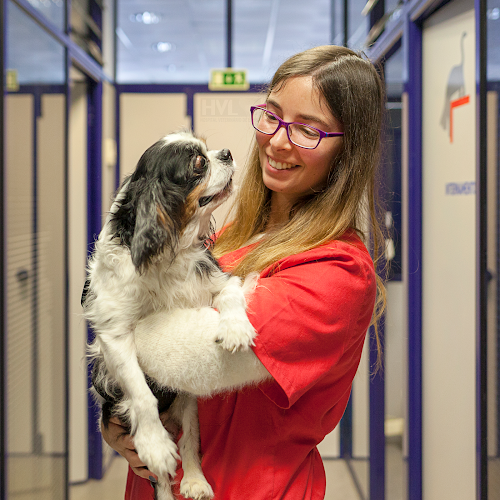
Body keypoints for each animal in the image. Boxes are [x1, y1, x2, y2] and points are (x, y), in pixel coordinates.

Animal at [82, 131, 258, 498]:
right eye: (198, 163)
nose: (226, 153)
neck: (169, 250)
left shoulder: (217, 280)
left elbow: (231, 295)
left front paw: (236, 328)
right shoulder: (114, 334)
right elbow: (140, 390)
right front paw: (155, 445)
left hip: (188, 402)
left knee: (190, 439)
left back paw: (194, 480)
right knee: (159, 473)